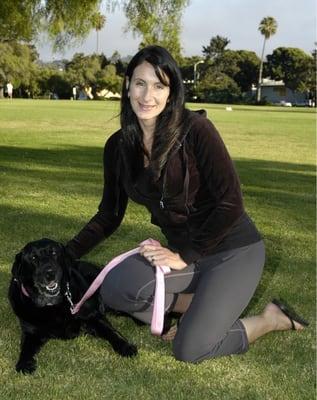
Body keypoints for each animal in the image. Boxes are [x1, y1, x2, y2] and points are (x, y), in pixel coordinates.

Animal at [8, 238, 137, 372]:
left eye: (54, 253)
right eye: (33, 258)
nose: (50, 273)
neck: (53, 305)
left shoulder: (93, 316)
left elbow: (112, 332)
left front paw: (125, 346)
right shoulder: (30, 332)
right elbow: (26, 348)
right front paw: (24, 363)